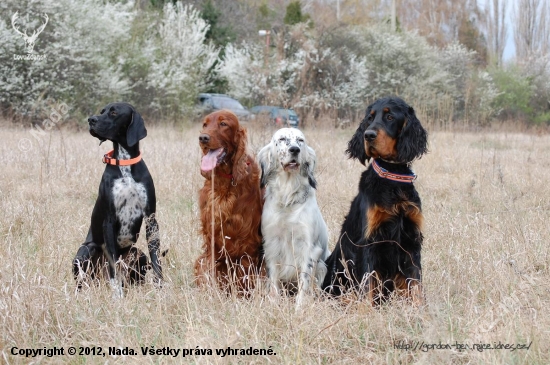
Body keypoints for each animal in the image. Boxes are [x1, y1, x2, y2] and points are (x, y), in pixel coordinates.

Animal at [71, 101, 162, 294]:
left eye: (113, 112)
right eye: (101, 111)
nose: (91, 120)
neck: (125, 163)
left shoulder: (151, 219)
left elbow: (156, 259)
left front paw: (161, 289)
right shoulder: (109, 221)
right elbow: (113, 263)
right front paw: (117, 295)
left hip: (137, 253)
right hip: (85, 251)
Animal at [195, 109, 264, 292]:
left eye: (223, 124)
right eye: (205, 124)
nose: (203, 138)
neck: (225, 182)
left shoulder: (247, 242)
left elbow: (244, 275)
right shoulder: (212, 237)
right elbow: (210, 268)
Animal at [260, 128, 332, 308]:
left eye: (300, 140)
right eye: (282, 139)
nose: (294, 150)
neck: (287, 200)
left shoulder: (309, 248)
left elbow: (304, 283)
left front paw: (300, 308)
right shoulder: (271, 244)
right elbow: (273, 280)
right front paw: (274, 303)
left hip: (323, 265)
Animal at [324, 96, 432, 304]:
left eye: (390, 117)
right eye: (369, 118)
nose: (368, 135)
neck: (391, 178)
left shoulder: (411, 241)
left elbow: (416, 284)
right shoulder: (369, 241)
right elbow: (367, 286)